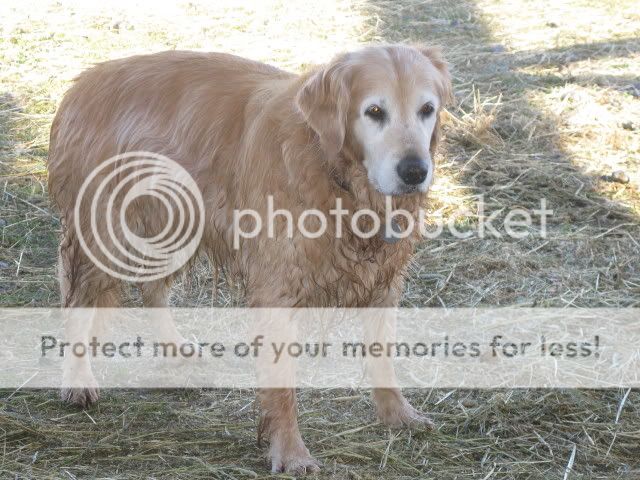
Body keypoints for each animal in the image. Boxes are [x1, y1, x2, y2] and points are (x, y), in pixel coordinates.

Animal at [48, 44, 450, 472]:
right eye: (374, 111)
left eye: (427, 109)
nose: (415, 171)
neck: (331, 167)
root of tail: (83, 82)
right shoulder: (276, 288)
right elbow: (282, 383)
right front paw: (291, 452)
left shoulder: (385, 280)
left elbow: (382, 355)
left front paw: (398, 414)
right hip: (107, 234)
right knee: (77, 302)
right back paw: (77, 380)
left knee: (151, 287)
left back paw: (174, 348)